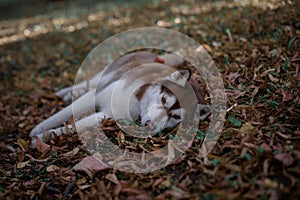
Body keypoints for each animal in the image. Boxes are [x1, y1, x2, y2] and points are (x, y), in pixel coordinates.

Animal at [29, 51, 210, 144]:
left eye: (176, 117)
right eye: (164, 99)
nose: (151, 126)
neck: (135, 103)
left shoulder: (107, 115)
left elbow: (77, 125)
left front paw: (43, 136)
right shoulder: (98, 94)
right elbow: (61, 114)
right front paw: (39, 129)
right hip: (107, 73)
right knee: (89, 83)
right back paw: (65, 92)